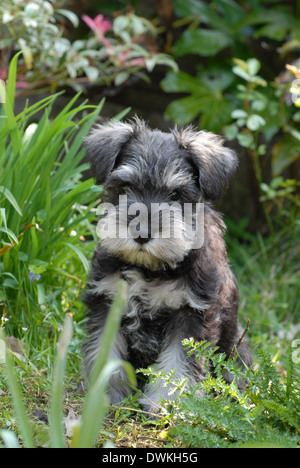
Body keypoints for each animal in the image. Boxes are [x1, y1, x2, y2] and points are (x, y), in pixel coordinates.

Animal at [81, 118, 251, 414]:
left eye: (176, 195)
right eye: (125, 187)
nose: (142, 233)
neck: (149, 269)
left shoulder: (191, 315)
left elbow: (177, 364)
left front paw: (167, 403)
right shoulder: (107, 301)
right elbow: (104, 351)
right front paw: (104, 395)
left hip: (236, 351)